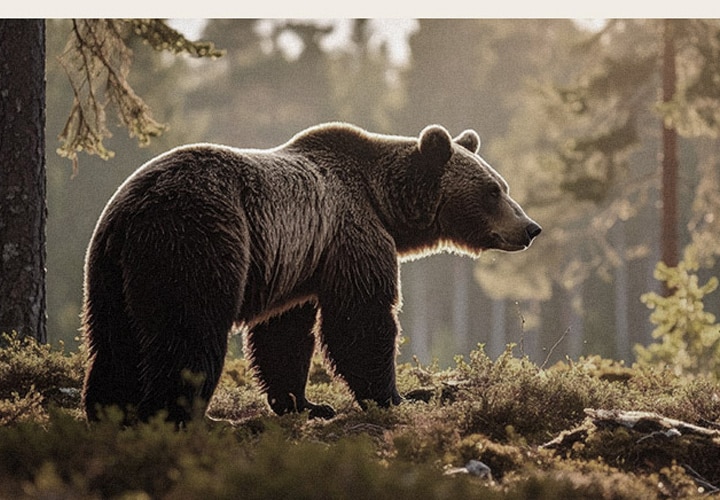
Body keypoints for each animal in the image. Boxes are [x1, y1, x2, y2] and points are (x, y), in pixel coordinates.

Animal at [81, 122, 541, 426]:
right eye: (493, 190)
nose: (530, 228)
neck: (385, 203)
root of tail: (133, 211)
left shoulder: (300, 263)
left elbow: (283, 336)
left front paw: (306, 404)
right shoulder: (351, 232)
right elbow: (361, 320)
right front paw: (400, 396)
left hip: (110, 273)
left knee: (115, 341)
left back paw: (110, 411)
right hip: (195, 242)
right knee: (189, 331)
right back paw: (191, 419)